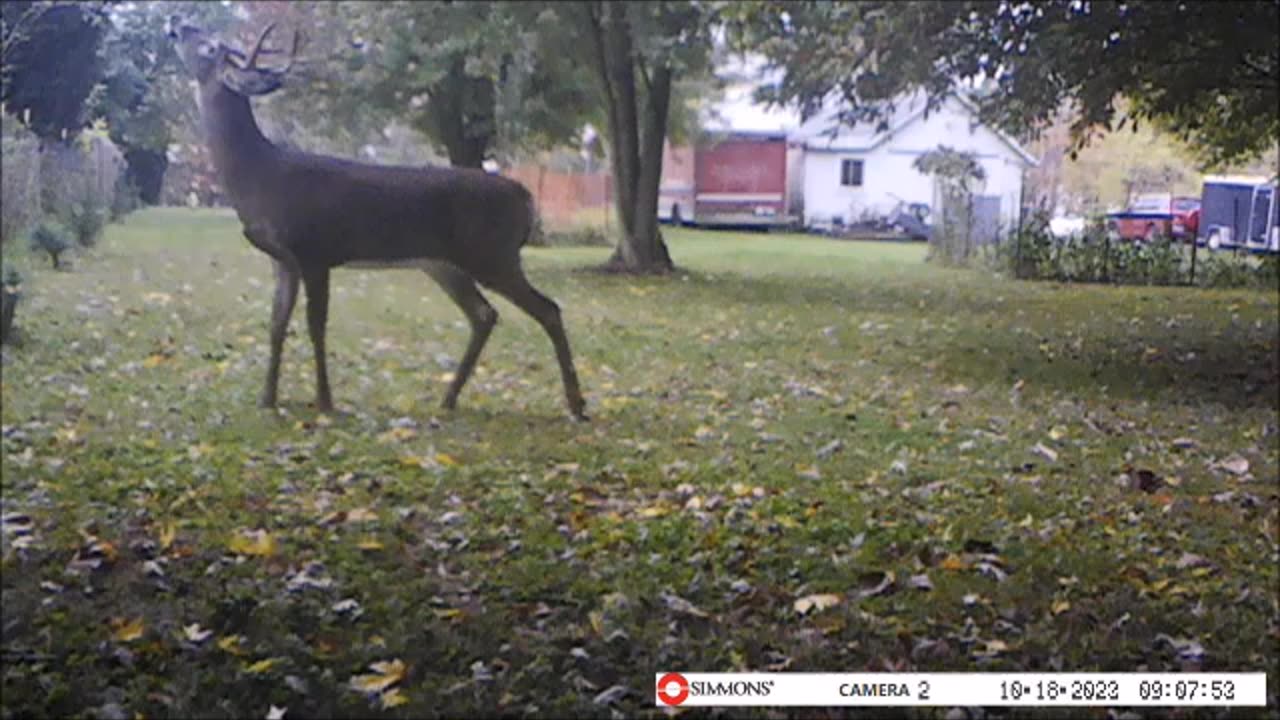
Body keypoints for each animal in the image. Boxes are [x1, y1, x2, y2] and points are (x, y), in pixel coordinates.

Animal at [167, 19, 586, 420]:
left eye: (210, 46)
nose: (177, 22)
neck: (259, 177)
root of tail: (526, 197)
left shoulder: (315, 250)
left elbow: (315, 325)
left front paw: (324, 401)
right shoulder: (282, 259)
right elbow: (276, 323)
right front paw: (267, 399)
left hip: (492, 253)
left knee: (548, 308)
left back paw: (577, 405)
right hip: (445, 264)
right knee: (484, 314)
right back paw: (449, 398)